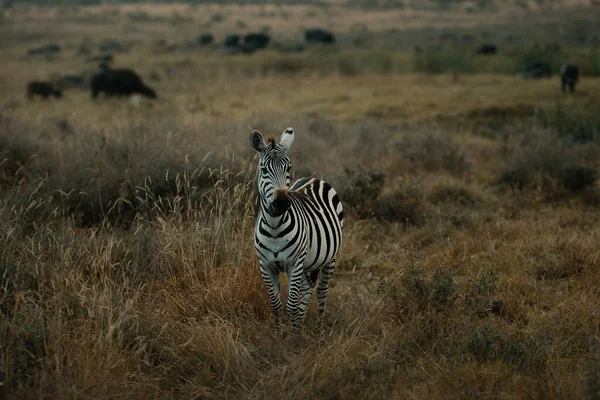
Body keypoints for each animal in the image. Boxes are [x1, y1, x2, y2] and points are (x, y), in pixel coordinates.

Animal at [248, 128, 342, 334]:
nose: (282, 203)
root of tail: (314, 178)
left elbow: (291, 304)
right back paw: (301, 322)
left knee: (321, 290)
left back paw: (319, 326)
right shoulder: (266, 265)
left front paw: (293, 337)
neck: (274, 228)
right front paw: (280, 333)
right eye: (264, 170)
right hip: (309, 263)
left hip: (329, 258)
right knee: (307, 289)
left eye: (288, 168)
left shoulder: (295, 263)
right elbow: (275, 303)